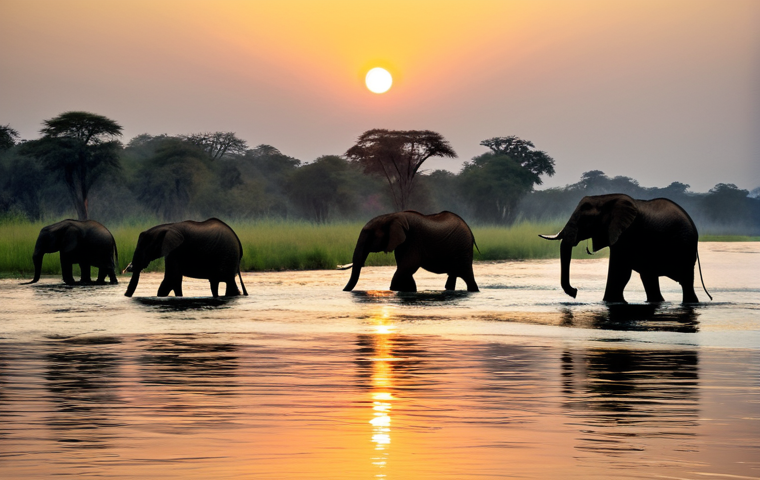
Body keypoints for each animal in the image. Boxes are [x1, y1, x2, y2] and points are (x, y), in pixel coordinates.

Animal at [342, 211, 479, 292]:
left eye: (370, 235)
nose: (344, 291)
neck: (391, 216)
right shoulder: (403, 243)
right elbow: (405, 269)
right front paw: (410, 290)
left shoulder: (413, 240)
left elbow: (407, 266)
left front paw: (394, 290)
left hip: (463, 249)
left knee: (468, 277)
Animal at [540, 194, 711, 303]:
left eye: (585, 219)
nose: (575, 292)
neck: (604, 199)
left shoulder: (626, 234)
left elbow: (620, 272)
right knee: (649, 277)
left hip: (685, 247)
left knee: (685, 282)